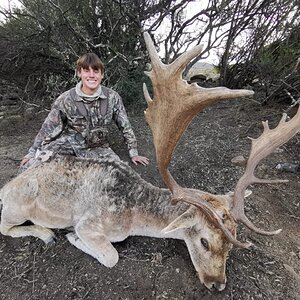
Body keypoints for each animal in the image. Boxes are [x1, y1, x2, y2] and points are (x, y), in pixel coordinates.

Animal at [0, 32, 300, 290]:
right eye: (204, 241)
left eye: (230, 245)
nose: (218, 284)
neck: (133, 214)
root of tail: (5, 189)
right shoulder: (90, 224)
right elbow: (111, 256)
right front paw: (70, 235)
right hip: (17, 207)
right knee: (5, 226)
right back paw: (46, 233)